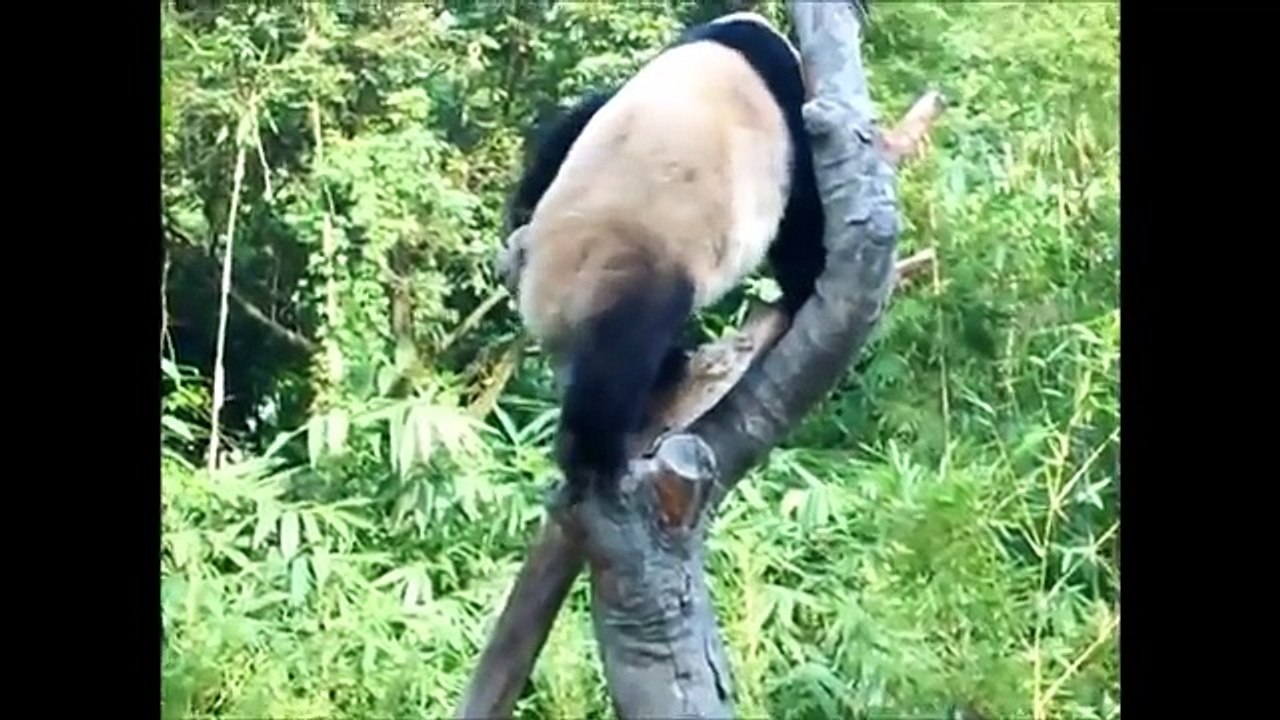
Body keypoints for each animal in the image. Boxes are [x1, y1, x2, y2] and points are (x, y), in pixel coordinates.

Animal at [506, 11, 828, 500]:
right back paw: (595, 458)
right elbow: (801, 215)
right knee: (622, 360)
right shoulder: (786, 112)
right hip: (634, 268)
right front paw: (806, 285)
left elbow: (568, 128)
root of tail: (545, 301)